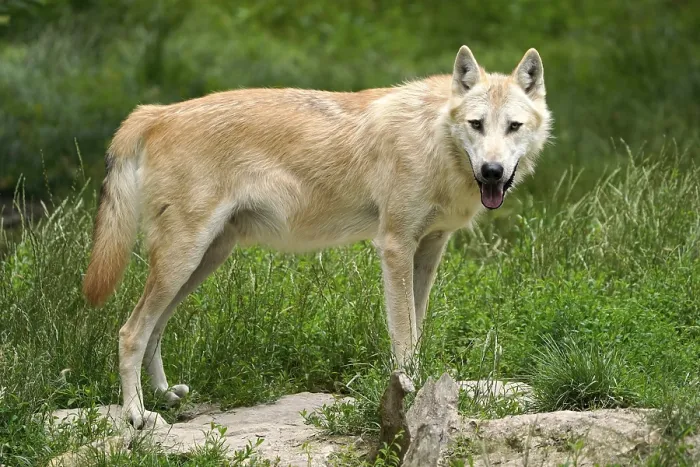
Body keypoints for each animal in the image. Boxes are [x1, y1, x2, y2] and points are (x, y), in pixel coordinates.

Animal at [83, 46, 552, 428]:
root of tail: (156, 111)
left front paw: (421, 389)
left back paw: (164, 397)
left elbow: (417, 331)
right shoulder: (395, 247)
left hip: (202, 262)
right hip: (182, 260)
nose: (491, 171)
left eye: (513, 126)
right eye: (476, 124)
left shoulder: (429, 250)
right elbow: (404, 336)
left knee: (154, 331)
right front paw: (412, 390)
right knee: (130, 332)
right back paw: (137, 415)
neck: (434, 139)